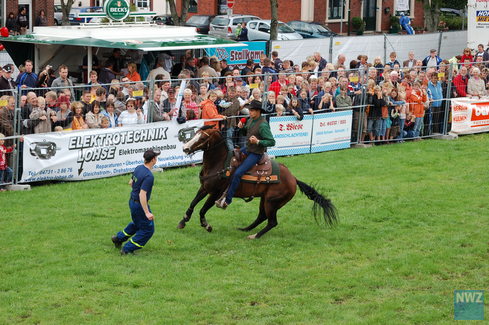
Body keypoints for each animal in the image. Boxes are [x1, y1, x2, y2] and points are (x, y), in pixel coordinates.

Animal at [178, 126, 336, 238]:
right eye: (195, 134)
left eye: (202, 137)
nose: (185, 148)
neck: (220, 163)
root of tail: (293, 179)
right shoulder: (204, 188)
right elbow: (193, 203)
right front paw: (183, 221)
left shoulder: (216, 193)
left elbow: (203, 209)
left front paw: (206, 225)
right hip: (265, 199)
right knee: (261, 216)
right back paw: (245, 229)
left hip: (272, 202)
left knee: (272, 221)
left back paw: (254, 235)